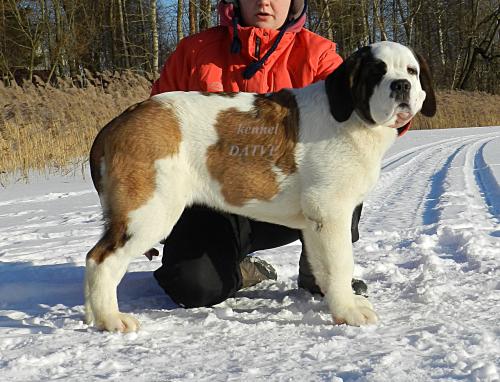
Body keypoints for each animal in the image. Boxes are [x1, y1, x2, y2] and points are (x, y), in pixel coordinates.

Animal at [86, 39, 438, 332]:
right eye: (377, 72)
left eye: (411, 71)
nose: (401, 85)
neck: (351, 114)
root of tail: (118, 122)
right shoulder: (331, 212)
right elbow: (340, 264)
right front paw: (349, 312)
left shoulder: (317, 221)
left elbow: (324, 266)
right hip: (149, 211)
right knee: (101, 259)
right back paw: (111, 319)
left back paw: (92, 314)